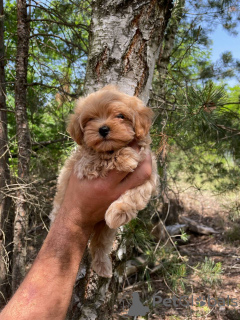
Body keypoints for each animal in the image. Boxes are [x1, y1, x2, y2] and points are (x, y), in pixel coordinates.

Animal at [49, 85, 158, 278]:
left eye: (120, 116)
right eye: (90, 119)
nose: (103, 129)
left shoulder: (149, 174)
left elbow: (137, 194)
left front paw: (120, 211)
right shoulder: (84, 163)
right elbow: (102, 158)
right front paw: (125, 157)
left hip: (105, 229)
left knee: (99, 245)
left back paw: (103, 267)